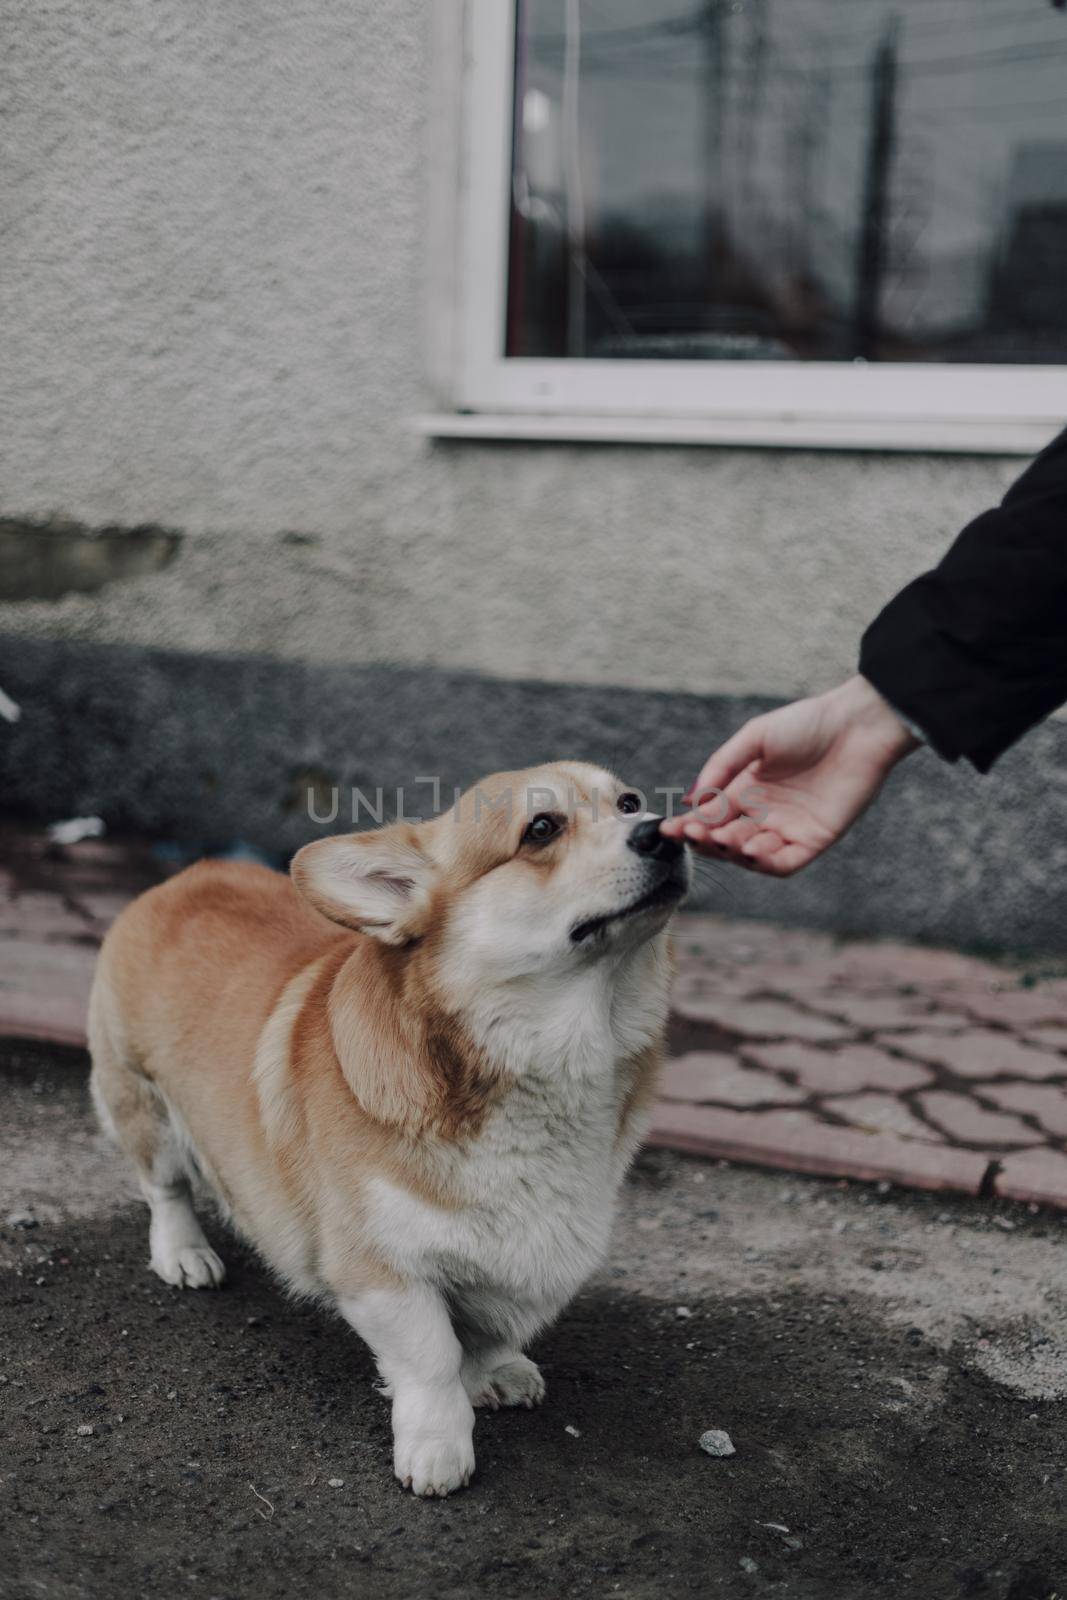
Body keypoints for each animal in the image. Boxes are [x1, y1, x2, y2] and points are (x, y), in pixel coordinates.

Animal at [87, 758, 687, 1484]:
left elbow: (489, 1329)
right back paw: (185, 1253)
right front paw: (437, 1448)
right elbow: (431, 1359)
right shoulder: (381, 1266)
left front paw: (493, 1372)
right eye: (541, 828)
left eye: (629, 802)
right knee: (165, 1187)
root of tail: (183, 879)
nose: (664, 832)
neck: (547, 1059)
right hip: (140, 1101)